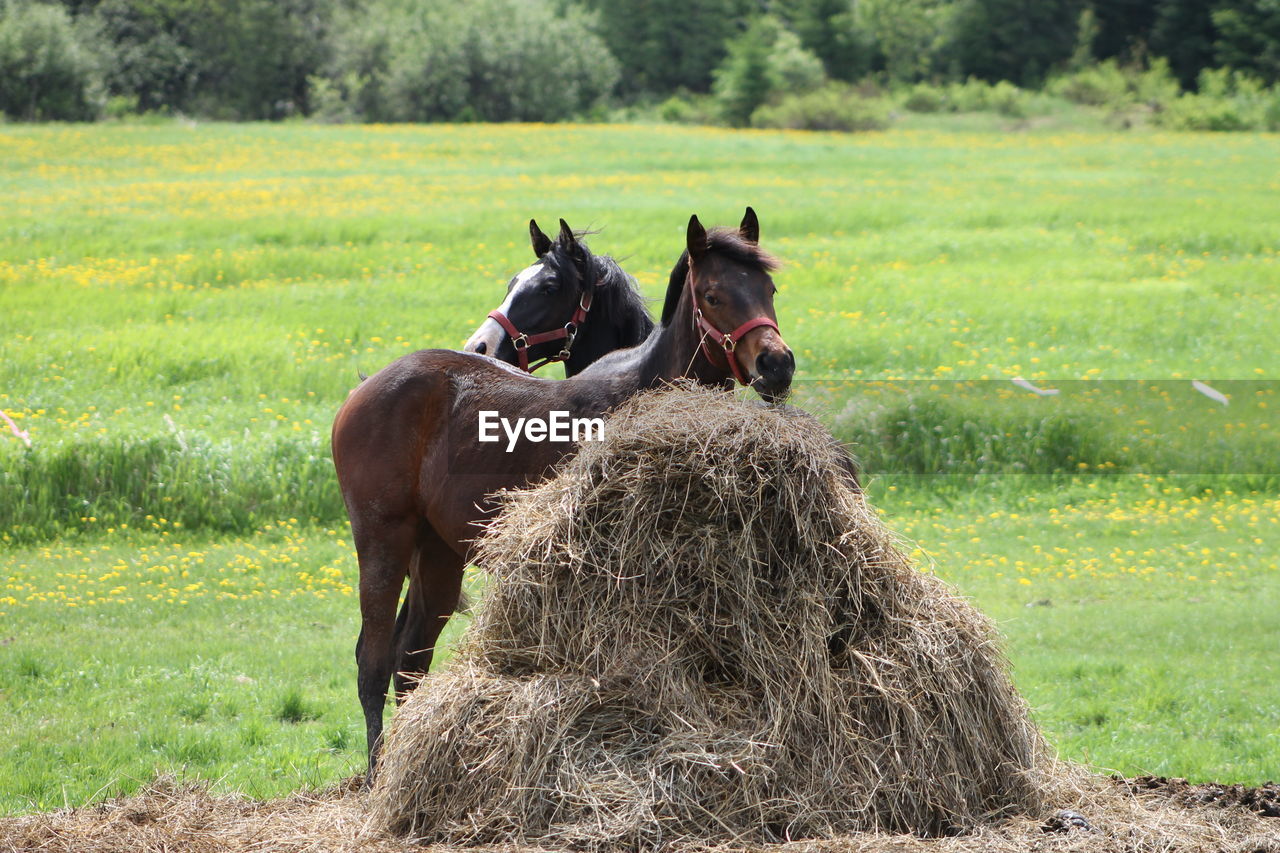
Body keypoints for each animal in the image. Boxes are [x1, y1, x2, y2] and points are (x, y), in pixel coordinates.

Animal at [332, 207, 788, 778]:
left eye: (769, 288)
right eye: (713, 295)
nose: (777, 364)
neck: (640, 385)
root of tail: (366, 386)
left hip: (438, 555)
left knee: (410, 661)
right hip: (382, 541)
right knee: (371, 661)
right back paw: (376, 777)